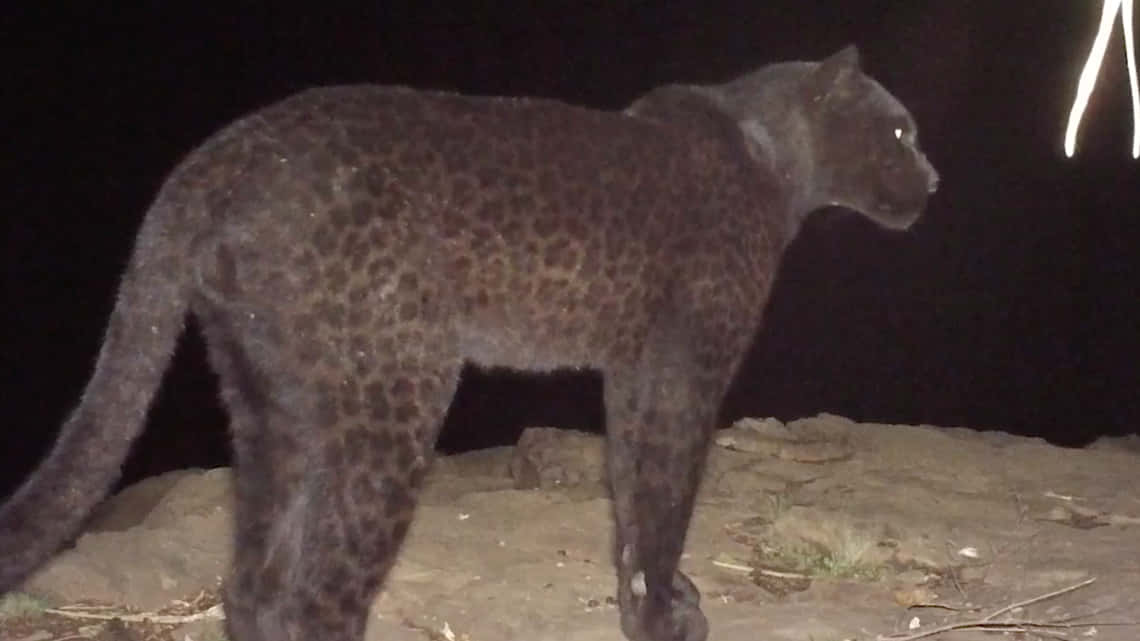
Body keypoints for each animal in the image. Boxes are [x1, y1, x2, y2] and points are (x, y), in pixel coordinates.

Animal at [0, 45, 937, 641]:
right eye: (898, 131)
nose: (934, 179)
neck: (776, 159)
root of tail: (217, 156)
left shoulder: (635, 371)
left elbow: (634, 498)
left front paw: (651, 607)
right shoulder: (688, 368)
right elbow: (669, 496)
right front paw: (667, 616)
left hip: (271, 402)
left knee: (254, 581)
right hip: (394, 395)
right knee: (318, 593)